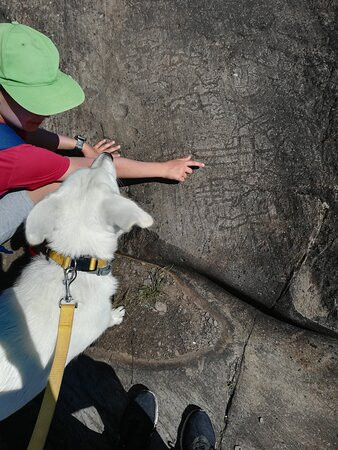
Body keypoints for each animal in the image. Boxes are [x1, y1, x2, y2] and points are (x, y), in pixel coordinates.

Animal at [0, 153, 153, 420]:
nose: (106, 154)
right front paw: (116, 315)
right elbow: (109, 318)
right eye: (112, 182)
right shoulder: (98, 321)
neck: (75, 263)